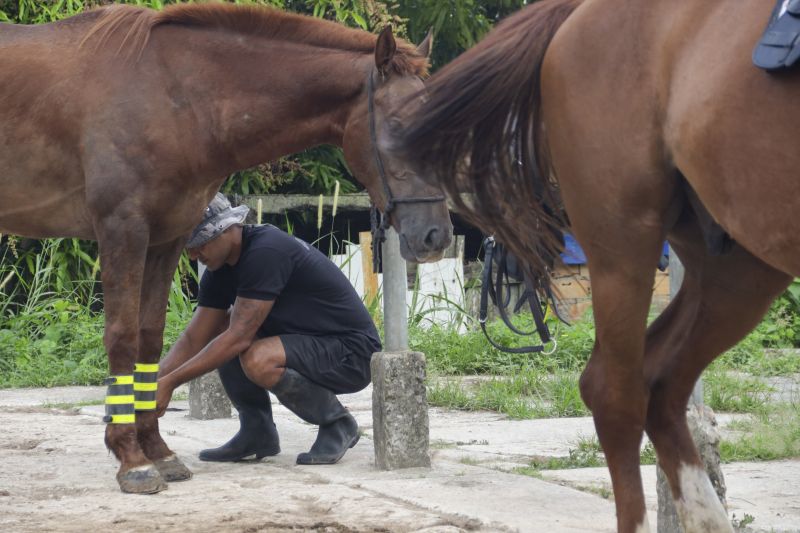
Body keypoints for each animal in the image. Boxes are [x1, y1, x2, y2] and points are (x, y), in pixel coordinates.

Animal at [0, 4, 454, 492]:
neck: (170, 91)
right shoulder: (122, 229)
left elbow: (150, 339)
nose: (437, 236)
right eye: (400, 127)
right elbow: (122, 338)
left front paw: (156, 449)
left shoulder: (165, 238)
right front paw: (132, 460)